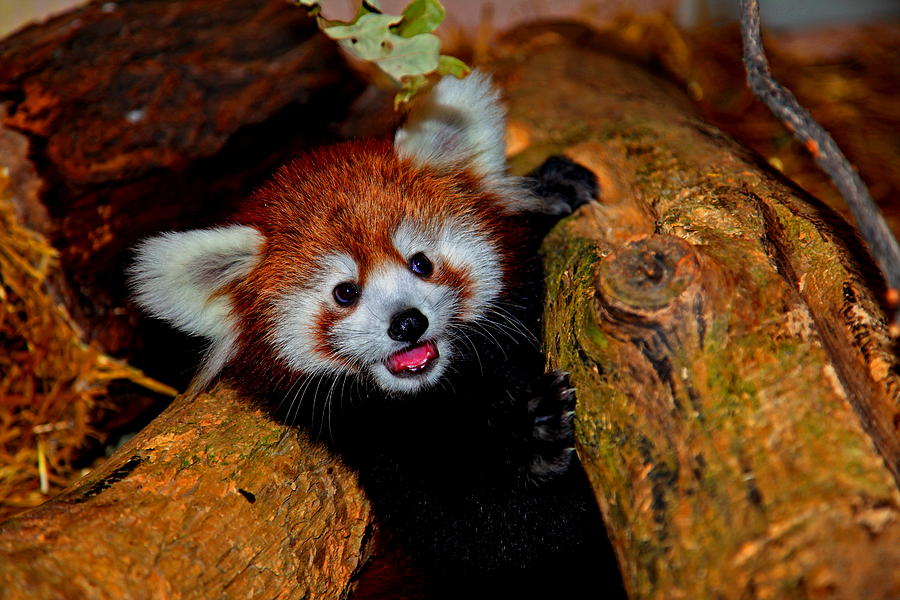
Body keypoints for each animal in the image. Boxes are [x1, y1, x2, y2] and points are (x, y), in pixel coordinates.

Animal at [130, 75, 616, 600]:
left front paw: (554, 185)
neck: (450, 389)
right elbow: (493, 536)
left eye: (420, 262)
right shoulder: (389, 452)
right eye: (345, 292)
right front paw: (535, 434)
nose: (407, 323)